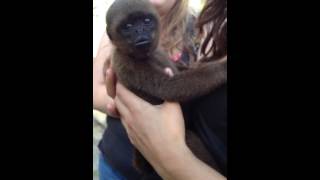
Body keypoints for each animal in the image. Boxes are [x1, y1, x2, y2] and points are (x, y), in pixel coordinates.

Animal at [104, 0, 226, 178]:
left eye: (146, 21)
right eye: (127, 26)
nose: (139, 31)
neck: (148, 55)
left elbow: (181, 69)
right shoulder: (128, 64)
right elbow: (169, 88)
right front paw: (223, 68)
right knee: (190, 138)